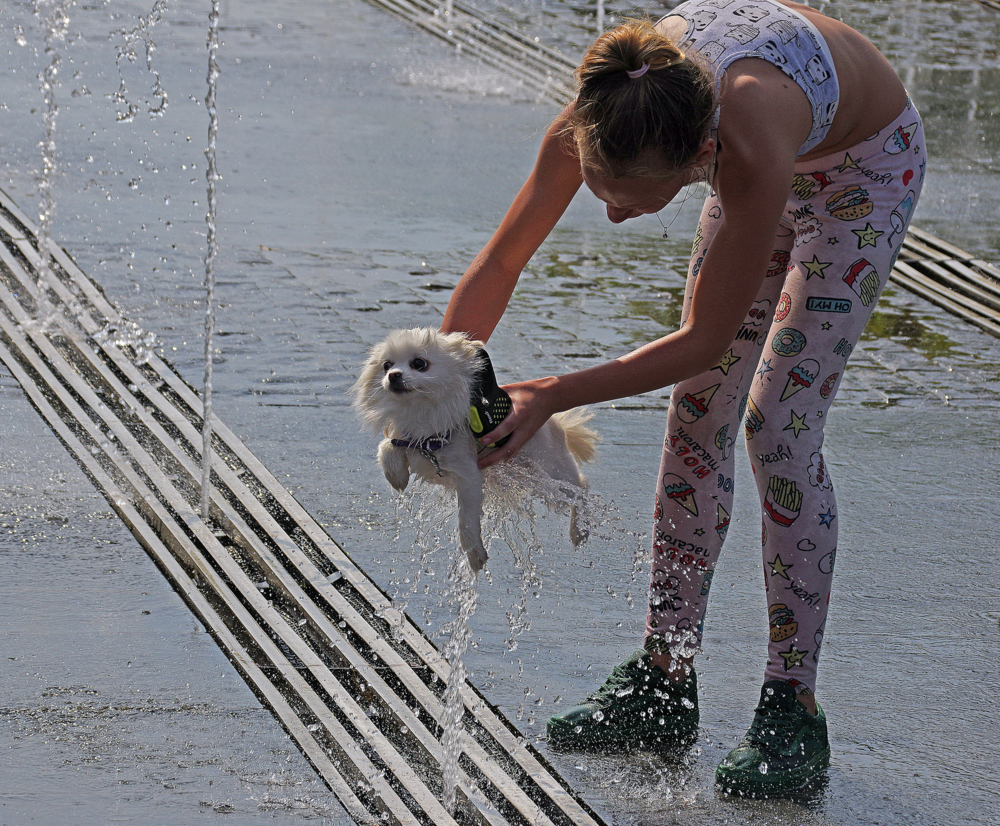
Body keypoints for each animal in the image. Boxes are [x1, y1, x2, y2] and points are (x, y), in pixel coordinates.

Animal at [348, 326, 596, 568]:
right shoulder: (407, 440)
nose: (393, 375)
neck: (424, 420)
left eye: (419, 363)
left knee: (582, 488)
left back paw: (579, 531)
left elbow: (466, 519)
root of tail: (558, 423)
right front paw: (396, 475)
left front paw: (475, 554)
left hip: (549, 476)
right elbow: (386, 446)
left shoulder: (469, 478)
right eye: (386, 365)